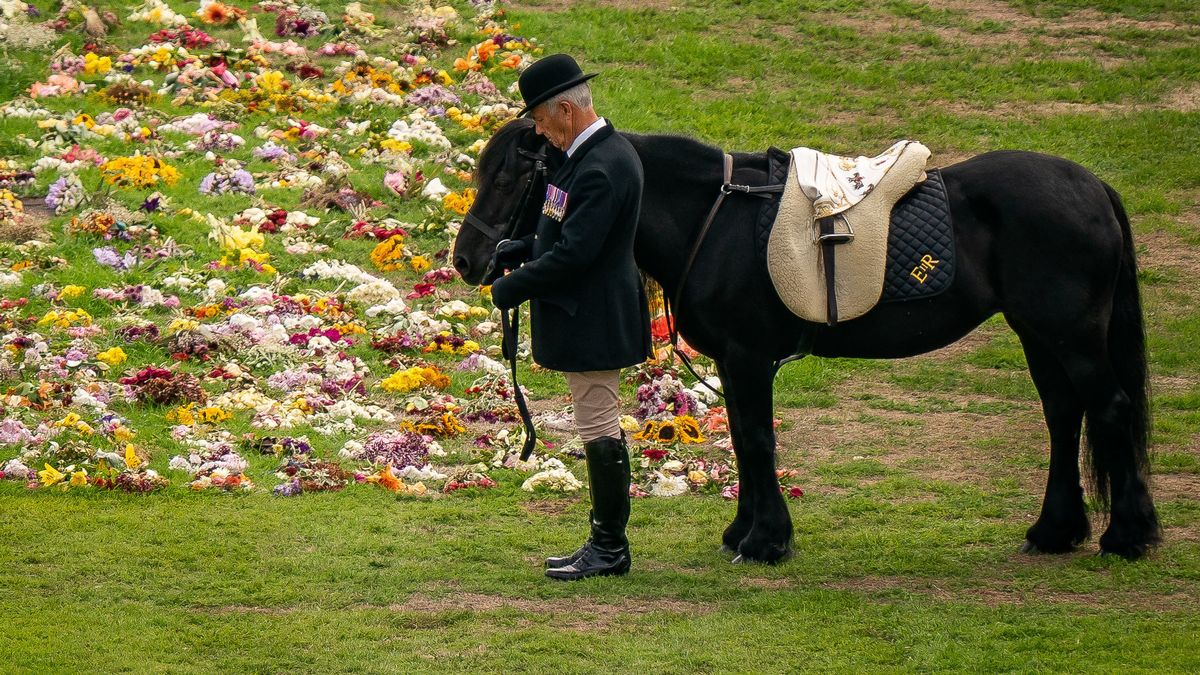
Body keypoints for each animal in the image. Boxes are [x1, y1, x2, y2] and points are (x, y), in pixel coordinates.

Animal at [453, 118, 1161, 563]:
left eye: (510, 178)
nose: (468, 261)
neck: (715, 217)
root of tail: (1092, 186)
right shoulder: (734, 361)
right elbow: (746, 440)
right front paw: (744, 532)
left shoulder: (747, 357)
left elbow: (757, 441)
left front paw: (765, 542)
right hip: (1040, 334)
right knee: (1064, 416)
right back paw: (1055, 530)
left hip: (1070, 335)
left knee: (1109, 408)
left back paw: (1128, 535)